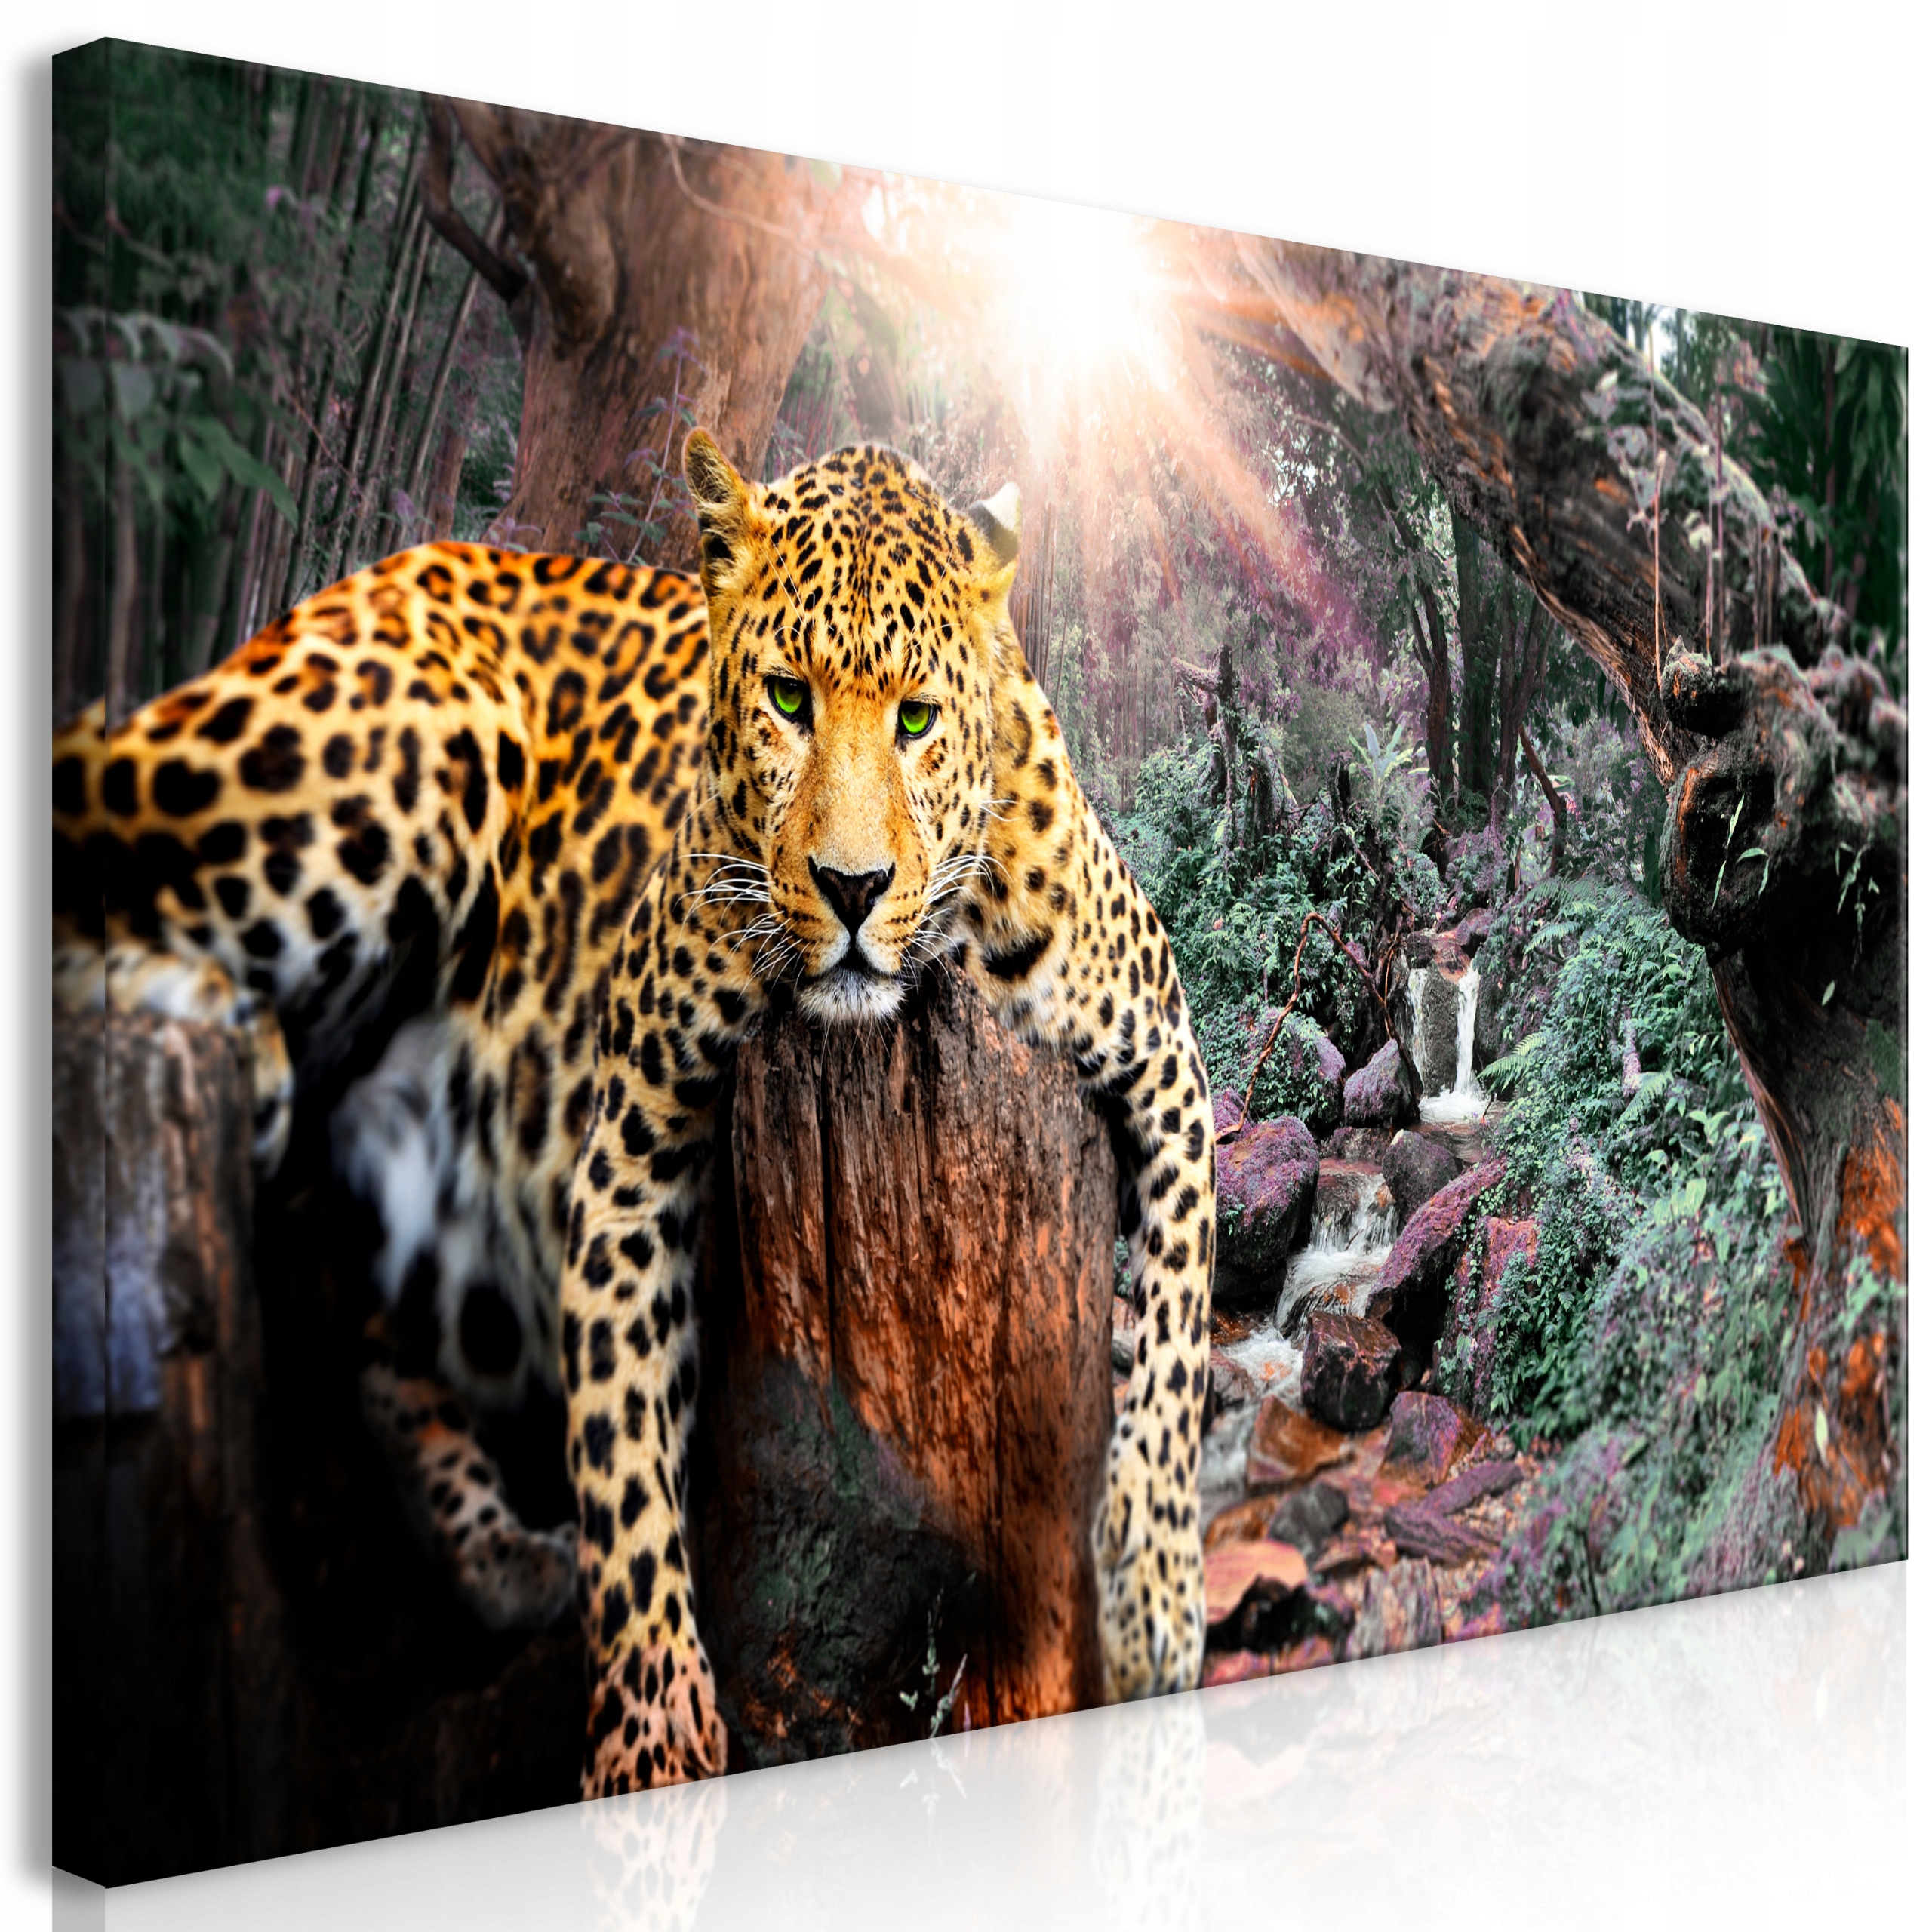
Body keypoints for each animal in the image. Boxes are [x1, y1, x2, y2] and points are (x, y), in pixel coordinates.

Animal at [53, 432, 1216, 1797]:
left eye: (918, 719)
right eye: (786, 699)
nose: (854, 887)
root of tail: (393, 565)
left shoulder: (1165, 1060)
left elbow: (1181, 1331)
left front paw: (1153, 1590)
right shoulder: (630, 1150)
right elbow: (620, 1447)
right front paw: (653, 1740)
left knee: (374, 1333)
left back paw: (506, 1555)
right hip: (379, 760)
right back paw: (203, 1013)